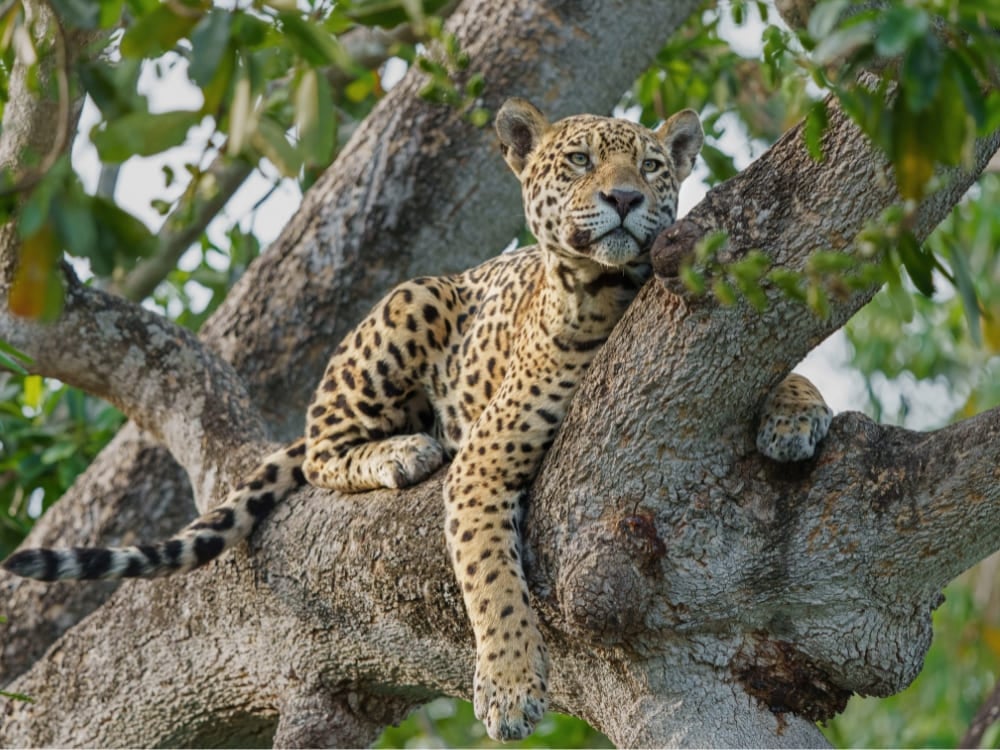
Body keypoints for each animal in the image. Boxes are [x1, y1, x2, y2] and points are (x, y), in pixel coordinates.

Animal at [2, 98, 832, 741]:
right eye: (579, 161)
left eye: (654, 167)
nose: (626, 198)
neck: (612, 294)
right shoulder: (484, 465)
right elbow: (492, 581)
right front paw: (509, 689)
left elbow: (790, 369)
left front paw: (795, 417)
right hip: (411, 302)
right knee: (323, 447)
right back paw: (402, 450)